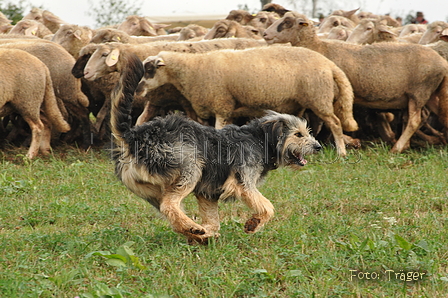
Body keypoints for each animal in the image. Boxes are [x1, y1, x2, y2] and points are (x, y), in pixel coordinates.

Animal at [111, 52, 322, 244]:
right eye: (298, 134)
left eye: (307, 132)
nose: (318, 146)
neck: (259, 139)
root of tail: (134, 136)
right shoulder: (242, 183)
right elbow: (268, 206)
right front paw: (254, 223)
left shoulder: (208, 193)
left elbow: (213, 220)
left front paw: (209, 233)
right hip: (191, 167)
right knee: (169, 205)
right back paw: (193, 228)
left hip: (153, 189)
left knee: (169, 212)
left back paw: (195, 233)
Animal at [134, 46, 360, 156]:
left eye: (150, 69)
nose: (137, 91)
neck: (193, 70)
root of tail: (330, 65)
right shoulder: (205, 109)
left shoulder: (222, 105)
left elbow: (219, 129)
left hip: (318, 97)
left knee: (335, 123)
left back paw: (341, 153)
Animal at [262, 12, 448, 152]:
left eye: (287, 22)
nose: (264, 34)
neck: (319, 47)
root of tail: (441, 62)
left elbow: (330, 122)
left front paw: (347, 142)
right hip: (430, 95)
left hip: (419, 92)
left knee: (414, 121)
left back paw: (397, 147)